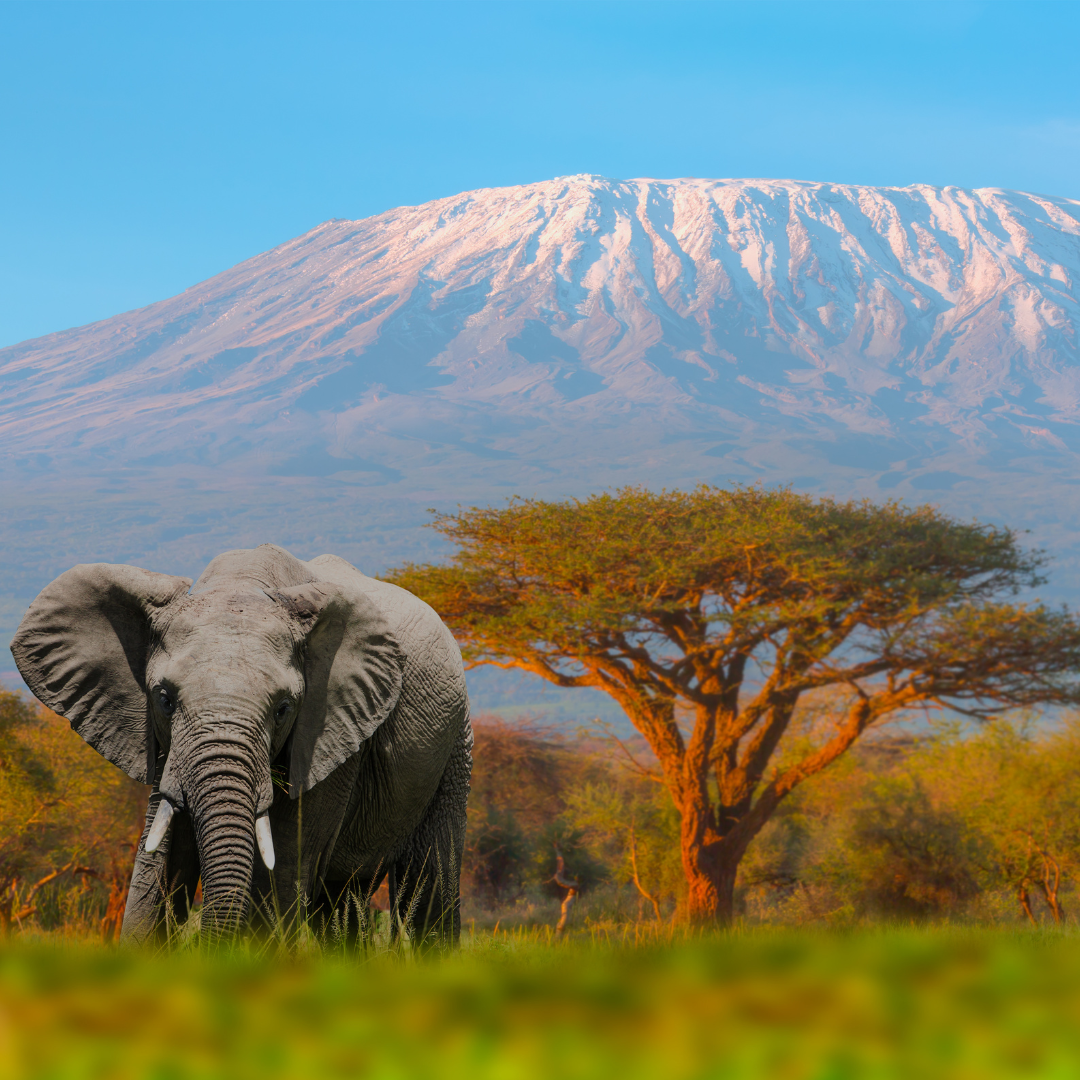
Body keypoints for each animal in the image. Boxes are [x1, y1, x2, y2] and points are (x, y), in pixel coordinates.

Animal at [9, 543, 472, 942]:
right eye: (163, 698)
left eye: (284, 708)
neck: (243, 584)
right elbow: (156, 869)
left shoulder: (331, 737)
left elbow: (280, 873)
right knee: (342, 905)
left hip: (455, 740)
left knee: (428, 889)